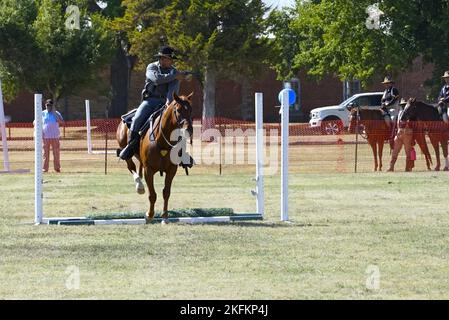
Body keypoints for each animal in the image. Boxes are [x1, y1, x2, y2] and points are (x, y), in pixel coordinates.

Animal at [115, 92, 192, 222]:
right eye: (178, 110)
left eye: (191, 109)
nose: (189, 130)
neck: (162, 140)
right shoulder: (149, 170)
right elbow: (152, 195)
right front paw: (149, 215)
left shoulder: (171, 170)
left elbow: (166, 192)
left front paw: (165, 217)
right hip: (126, 151)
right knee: (131, 166)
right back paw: (139, 186)